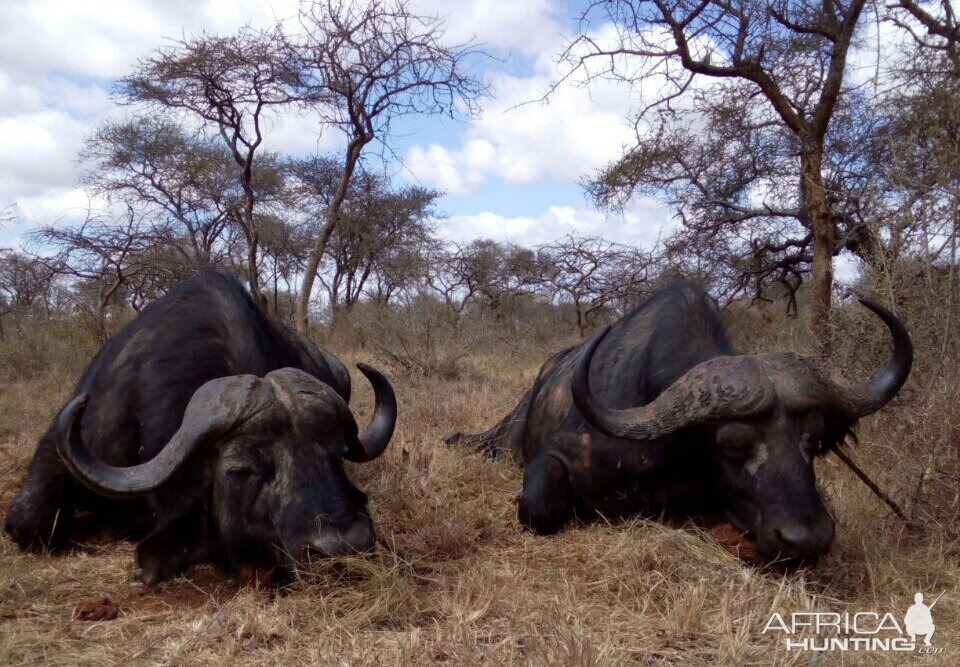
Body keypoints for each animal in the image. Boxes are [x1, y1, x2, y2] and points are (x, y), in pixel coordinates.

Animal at [446, 284, 912, 564]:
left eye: (812, 443)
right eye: (732, 447)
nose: (806, 539)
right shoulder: (556, 457)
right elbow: (540, 508)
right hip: (504, 440)